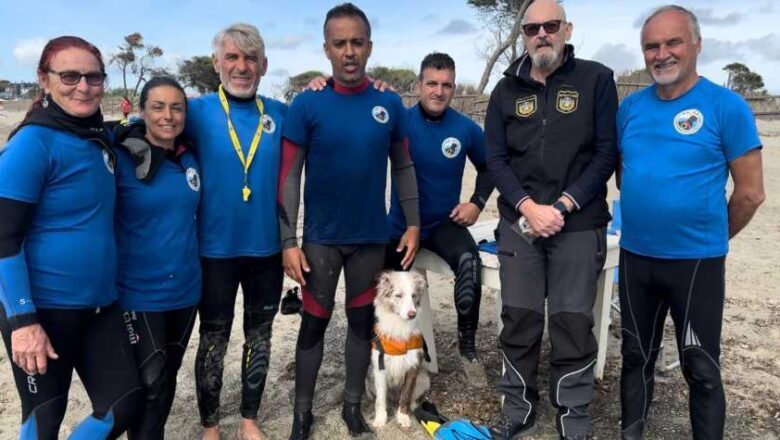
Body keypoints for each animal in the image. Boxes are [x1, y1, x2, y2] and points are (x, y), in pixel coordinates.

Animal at [368, 270, 430, 428]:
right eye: (398, 295)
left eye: (413, 296)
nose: (412, 314)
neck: (399, 326)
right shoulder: (380, 367)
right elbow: (380, 398)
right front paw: (380, 419)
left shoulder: (412, 367)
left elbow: (406, 395)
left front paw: (403, 416)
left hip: (424, 378)